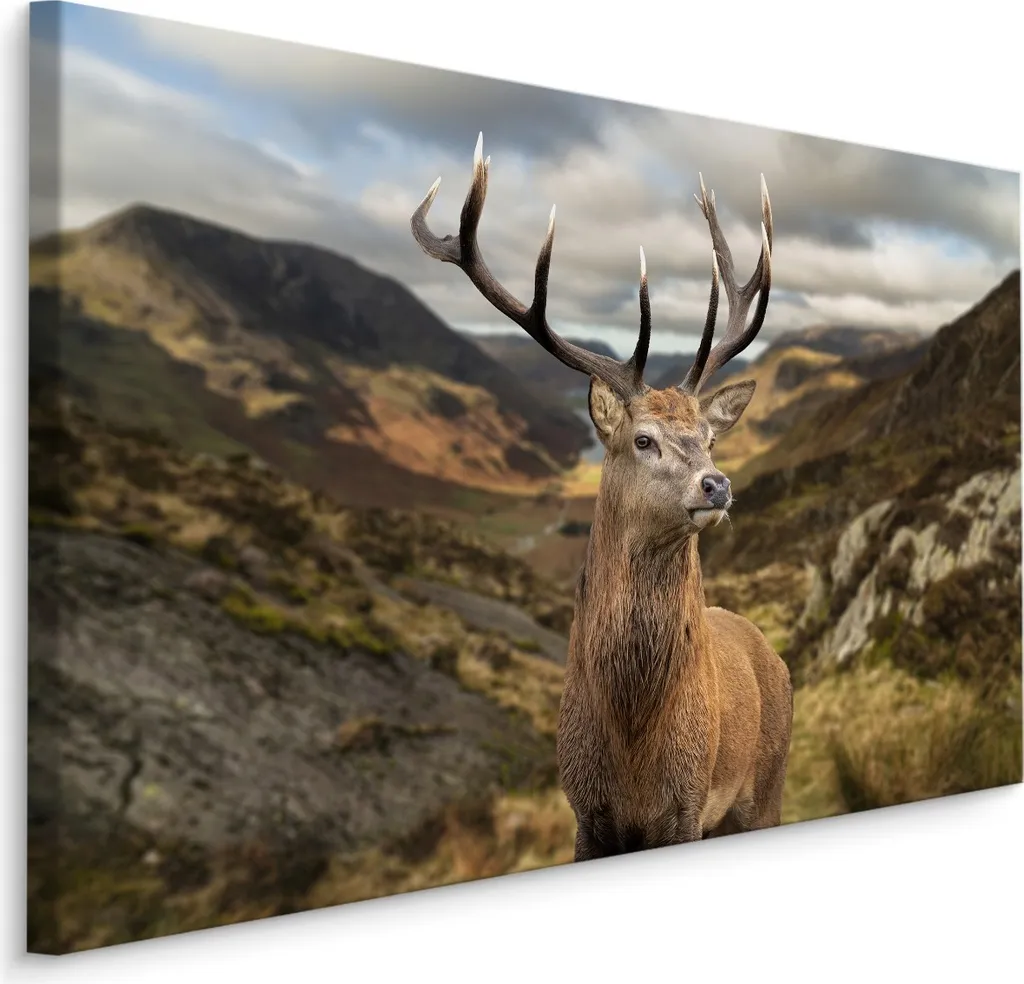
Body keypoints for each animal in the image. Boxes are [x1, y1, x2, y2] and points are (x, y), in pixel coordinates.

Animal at [411, 134, 793, 861]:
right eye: (643, 440)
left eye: (710, 438)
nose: (718, 484)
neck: (632, 749)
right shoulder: (585, 814)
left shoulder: (686, 807)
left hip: (766, 789)